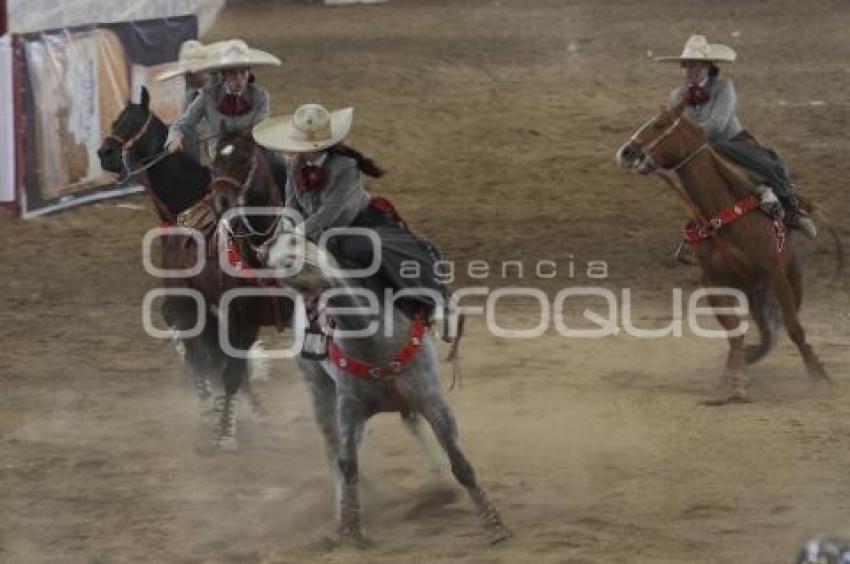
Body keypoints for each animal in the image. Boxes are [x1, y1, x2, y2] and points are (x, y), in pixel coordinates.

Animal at [97, 88, 274, 450]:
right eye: (116, 119)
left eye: (134, 121)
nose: (105, 153)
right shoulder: (189, 301)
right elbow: (205, 355)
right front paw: (221, 412)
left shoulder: (201, 302)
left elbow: (213, 357)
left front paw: (226, 419)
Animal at [264, 227, 510, 544]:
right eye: (274, 266)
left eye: (298, 242)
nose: (317, 286)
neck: (372, 339)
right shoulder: (349, 408)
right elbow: (348, 465)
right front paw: (350, 530)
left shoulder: (432, 400)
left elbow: (460, 463)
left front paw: (494, 525)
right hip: (318, 390)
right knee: (333, 449)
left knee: (411, 424)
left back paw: (442, 485)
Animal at [616, 103, 828, 404]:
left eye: (660, 124)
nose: (626, 152)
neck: (722, 216)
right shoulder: (714, 284)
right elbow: (734, 334)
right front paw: (736, 382)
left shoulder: (774, 276)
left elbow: (794, 328)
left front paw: (819, 376)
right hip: (753, 294)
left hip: (789, 282)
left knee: (784, 325)